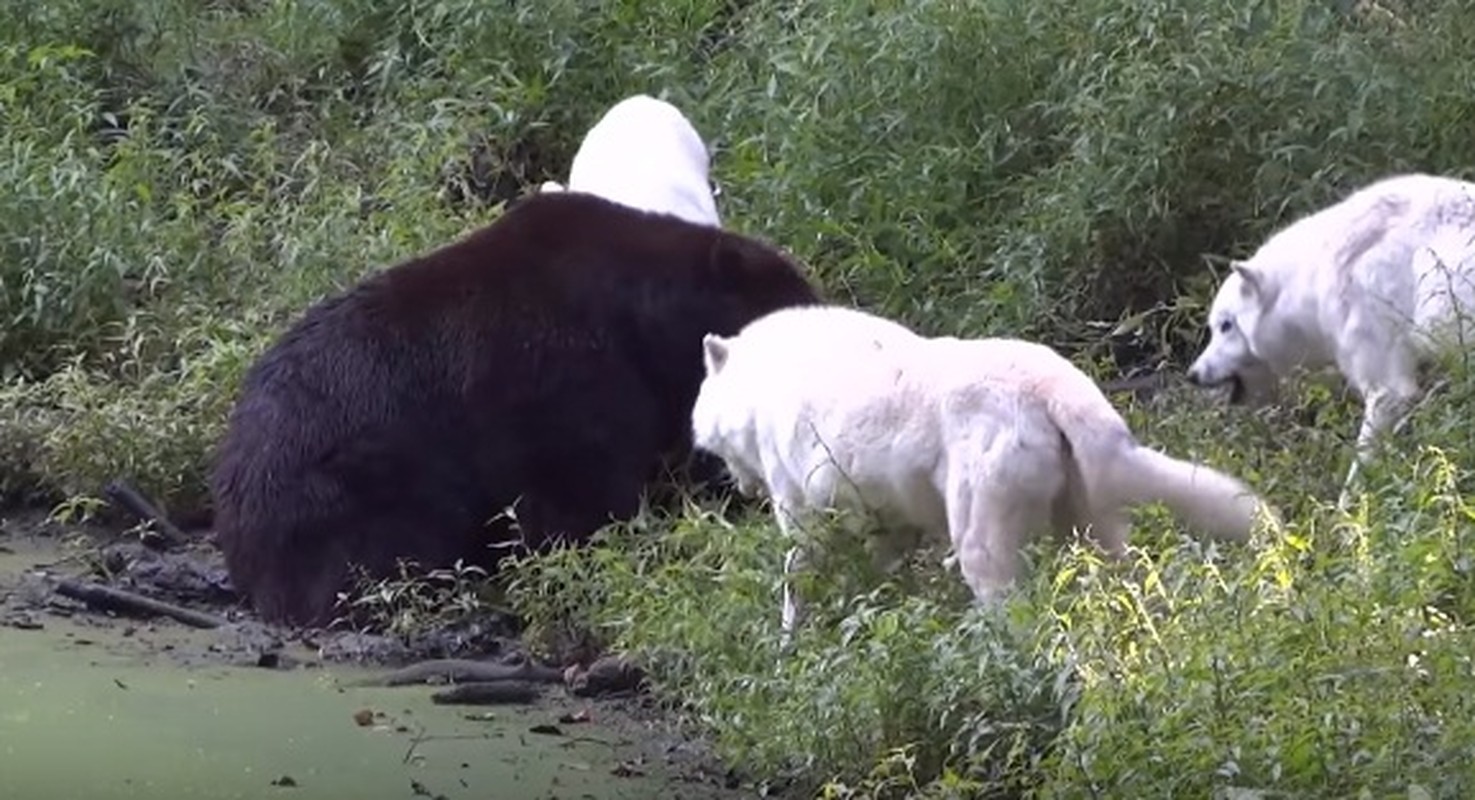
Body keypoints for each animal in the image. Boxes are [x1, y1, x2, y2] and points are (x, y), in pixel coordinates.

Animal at [690, 304, 1268, 637]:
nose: (739, 487)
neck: (760, 382)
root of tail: (1051, 387)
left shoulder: (804, 517)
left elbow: (796, 583)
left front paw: (791, 644)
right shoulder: (890, 525)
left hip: (981, 545)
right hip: (1091, 529)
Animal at [1185, 174, 1475, 501]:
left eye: (1226, 326)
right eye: (1214, 328)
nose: (1191, 374)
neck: (1314, 279)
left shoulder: (1388, 391)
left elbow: (1359, 470)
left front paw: (1349, 511)